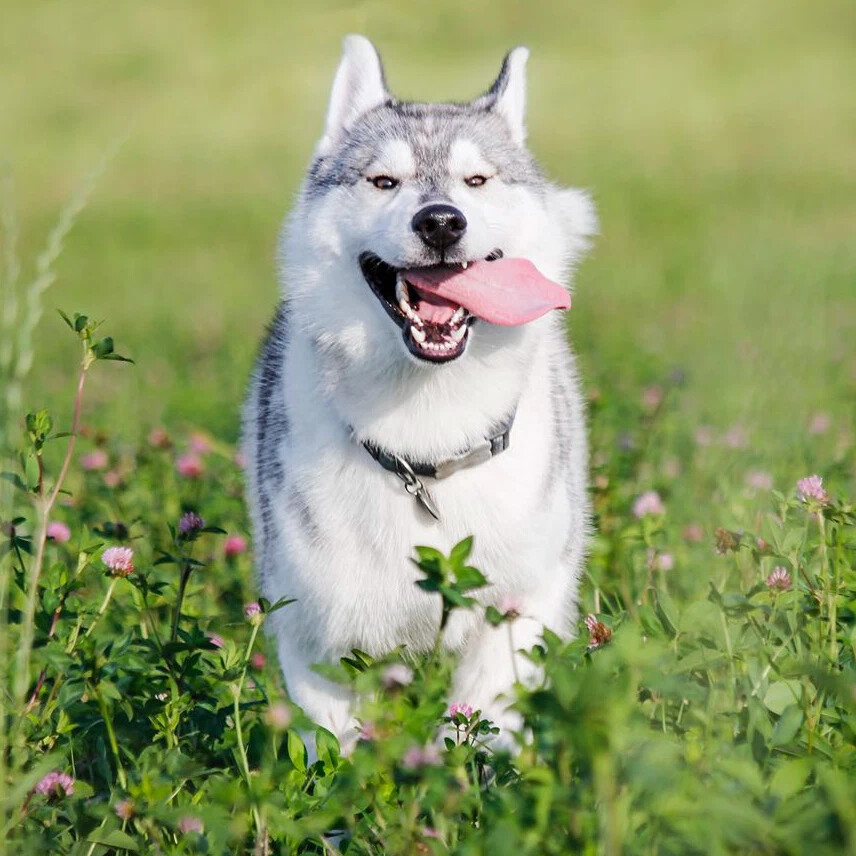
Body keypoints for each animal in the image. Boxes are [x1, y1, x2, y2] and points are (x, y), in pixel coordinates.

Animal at [244, 35, 596, 748]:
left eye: (477, 181)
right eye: (384, 182)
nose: (440, 222)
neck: (428, 425)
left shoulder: (517, 609)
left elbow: (480, 726)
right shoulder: (317, 633)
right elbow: (338, 750)